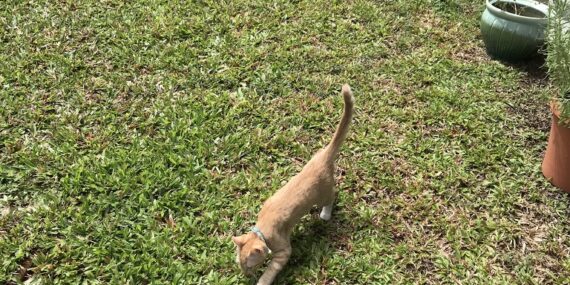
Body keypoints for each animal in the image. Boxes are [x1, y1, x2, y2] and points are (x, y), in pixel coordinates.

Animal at [231, 83, 350, 282]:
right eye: (240, 265)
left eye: (250, 266)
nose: (246, 274)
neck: (261, 230)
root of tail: (323, 156)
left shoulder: (284, 250)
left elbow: (271, 269)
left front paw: (262, 281)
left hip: (323, 193)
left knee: (332, 196)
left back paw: (325, 214)